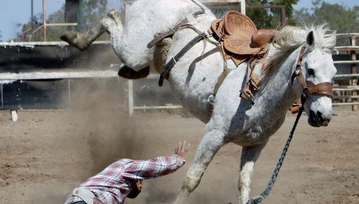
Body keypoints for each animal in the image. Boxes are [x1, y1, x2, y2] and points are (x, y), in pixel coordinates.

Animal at [59, 0, 338, 203]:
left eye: (334, 73)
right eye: (310, 70)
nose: (323, 116)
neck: (260, 89)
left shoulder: (255, 145)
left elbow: (244, 184)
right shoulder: (213, 134)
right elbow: (192, 179)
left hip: (141, 55)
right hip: (134, 49)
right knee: (111, 17)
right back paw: (74, 38)